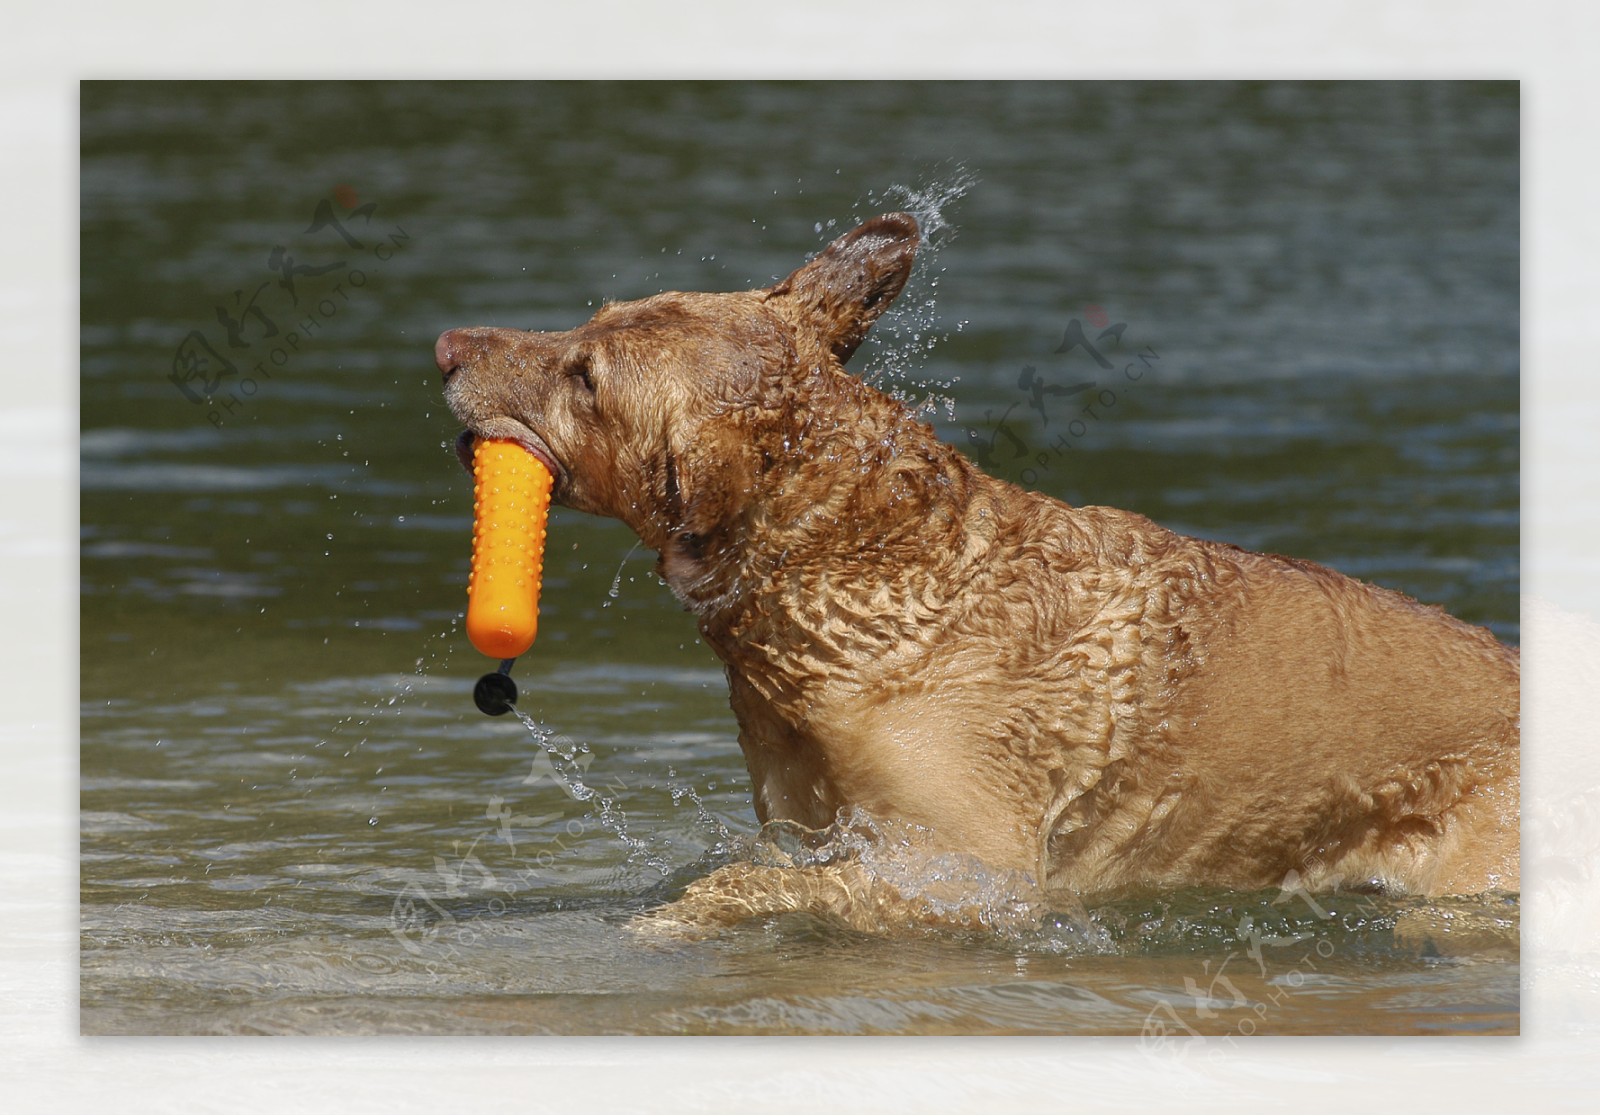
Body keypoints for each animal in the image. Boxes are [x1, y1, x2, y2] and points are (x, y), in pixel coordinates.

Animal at [441, 212, 1523, 927]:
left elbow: (734, 887)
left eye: (586, 379)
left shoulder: (966, 870)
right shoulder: (811, 826)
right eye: (589, 320)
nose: (448, 342)